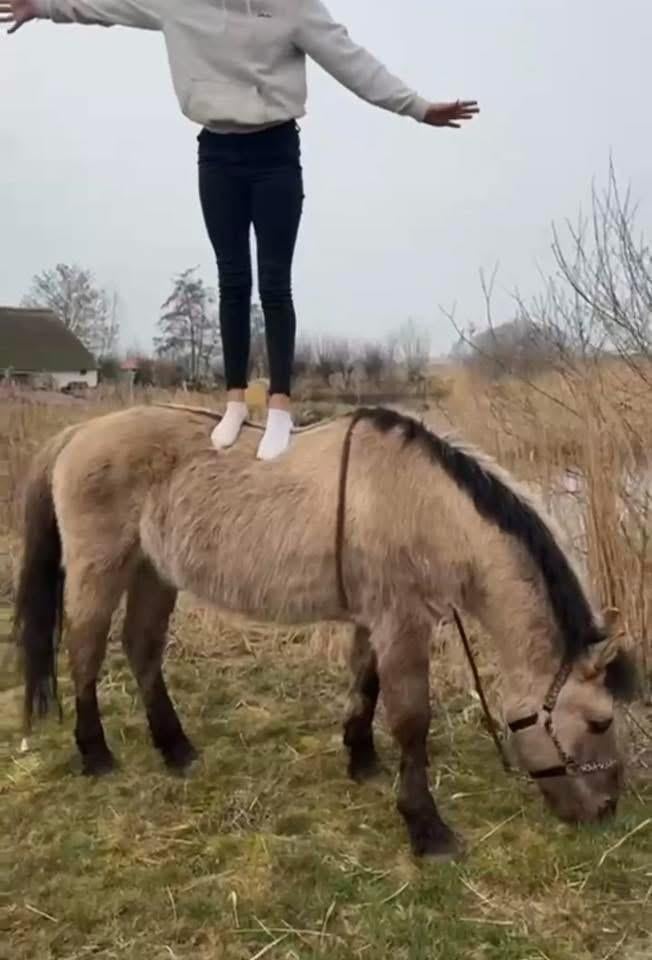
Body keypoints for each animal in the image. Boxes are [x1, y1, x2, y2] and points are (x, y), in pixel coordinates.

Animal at [13, 404, 637, 858]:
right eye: (601, 722)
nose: (605, 811)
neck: (428, 506)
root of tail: (80, 431)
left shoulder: (375, 619)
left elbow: (366, 687)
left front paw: (361, 760)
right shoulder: (401, 623)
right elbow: (412, 719)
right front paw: (426, 828)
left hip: (153, 571)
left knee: (142, 650)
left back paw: (176, 749)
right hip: (100, 569)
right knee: (86, 653)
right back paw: (96, 753)